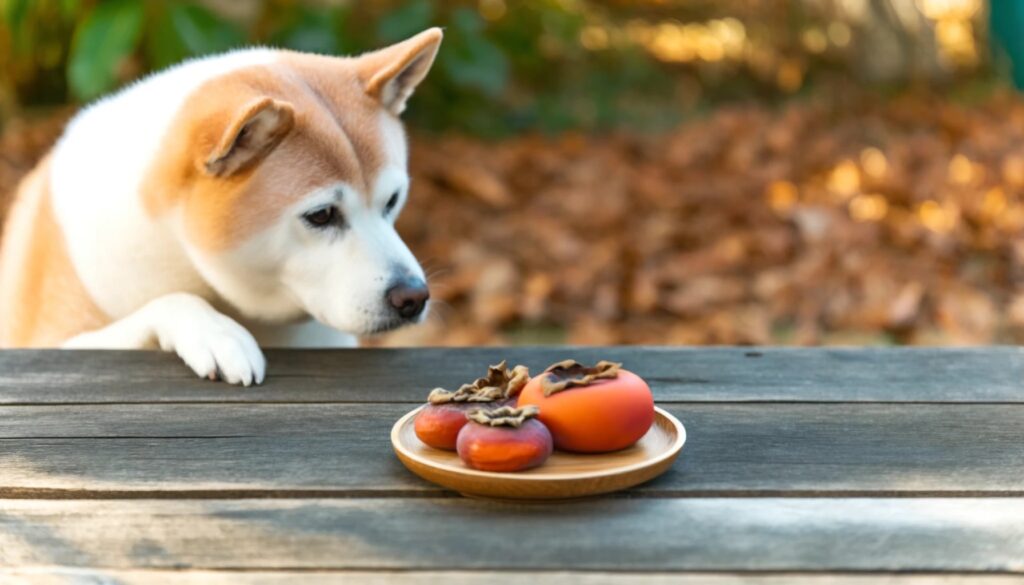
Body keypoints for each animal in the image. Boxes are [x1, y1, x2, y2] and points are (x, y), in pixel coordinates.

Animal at [0, 27, 442, 387]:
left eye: (392, 200)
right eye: (321, 215)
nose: (414, 297)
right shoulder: (54, 340)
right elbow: (172, 301)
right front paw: (215, 332)